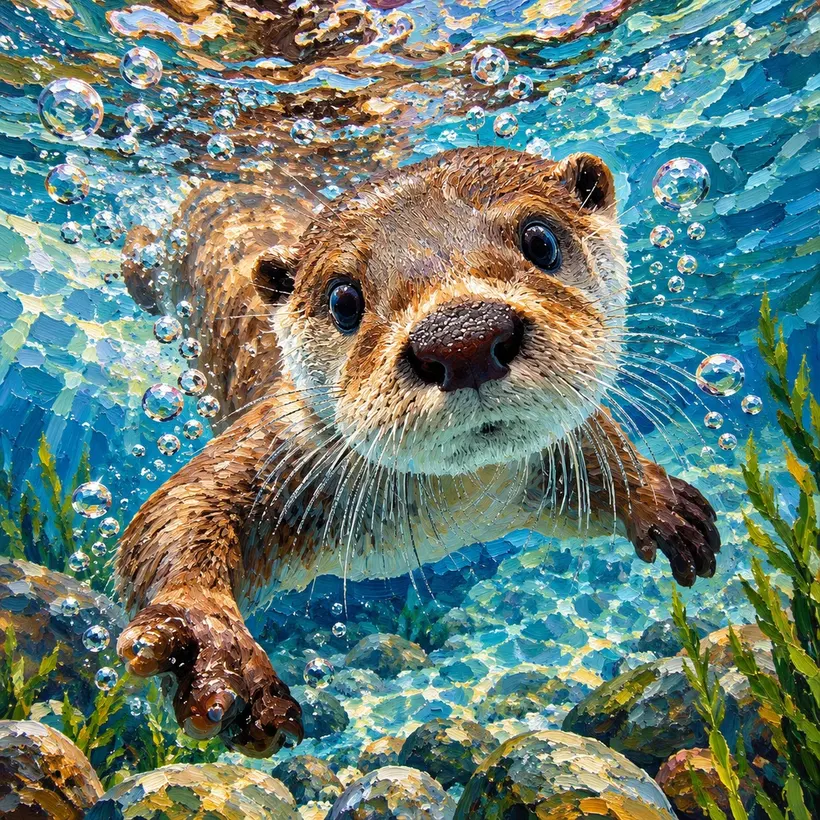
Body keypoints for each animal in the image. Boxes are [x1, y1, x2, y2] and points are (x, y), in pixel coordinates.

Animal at [116, 148, 720, 758]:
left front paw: (660, 504)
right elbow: (176, 508)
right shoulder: (282, 442)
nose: (463, 337)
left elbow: (600, 474)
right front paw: (213, 645)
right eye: (343, 298)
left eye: (540, 239)